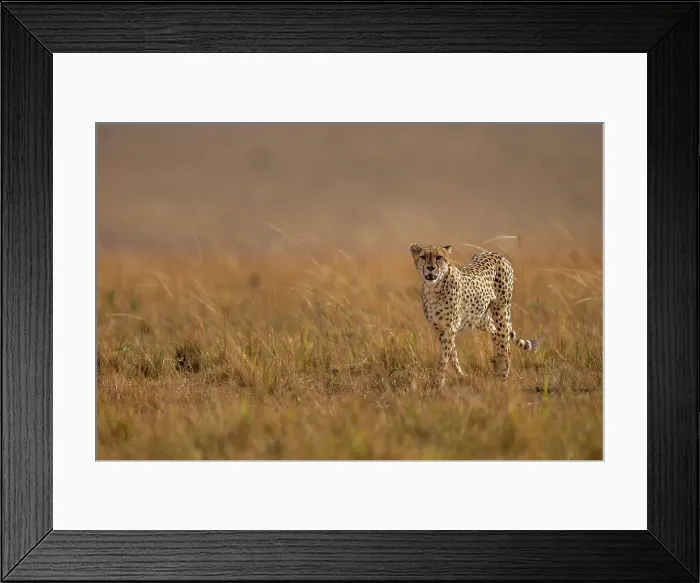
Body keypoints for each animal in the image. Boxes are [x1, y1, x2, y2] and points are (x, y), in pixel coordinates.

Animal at [410, 244, 538, 389]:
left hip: (501, 311)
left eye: (439, 257)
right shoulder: (442, 330)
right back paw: (496, 365)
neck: (434, 287)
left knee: (505, 343)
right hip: (479, 317)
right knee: (495, 333)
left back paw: (503, 378)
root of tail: (495, 254)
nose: (430, 267)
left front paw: (439, 384)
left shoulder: (450, 328)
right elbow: (452, 354)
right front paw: (461, 376)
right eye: (423, 257)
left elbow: (444, 358)